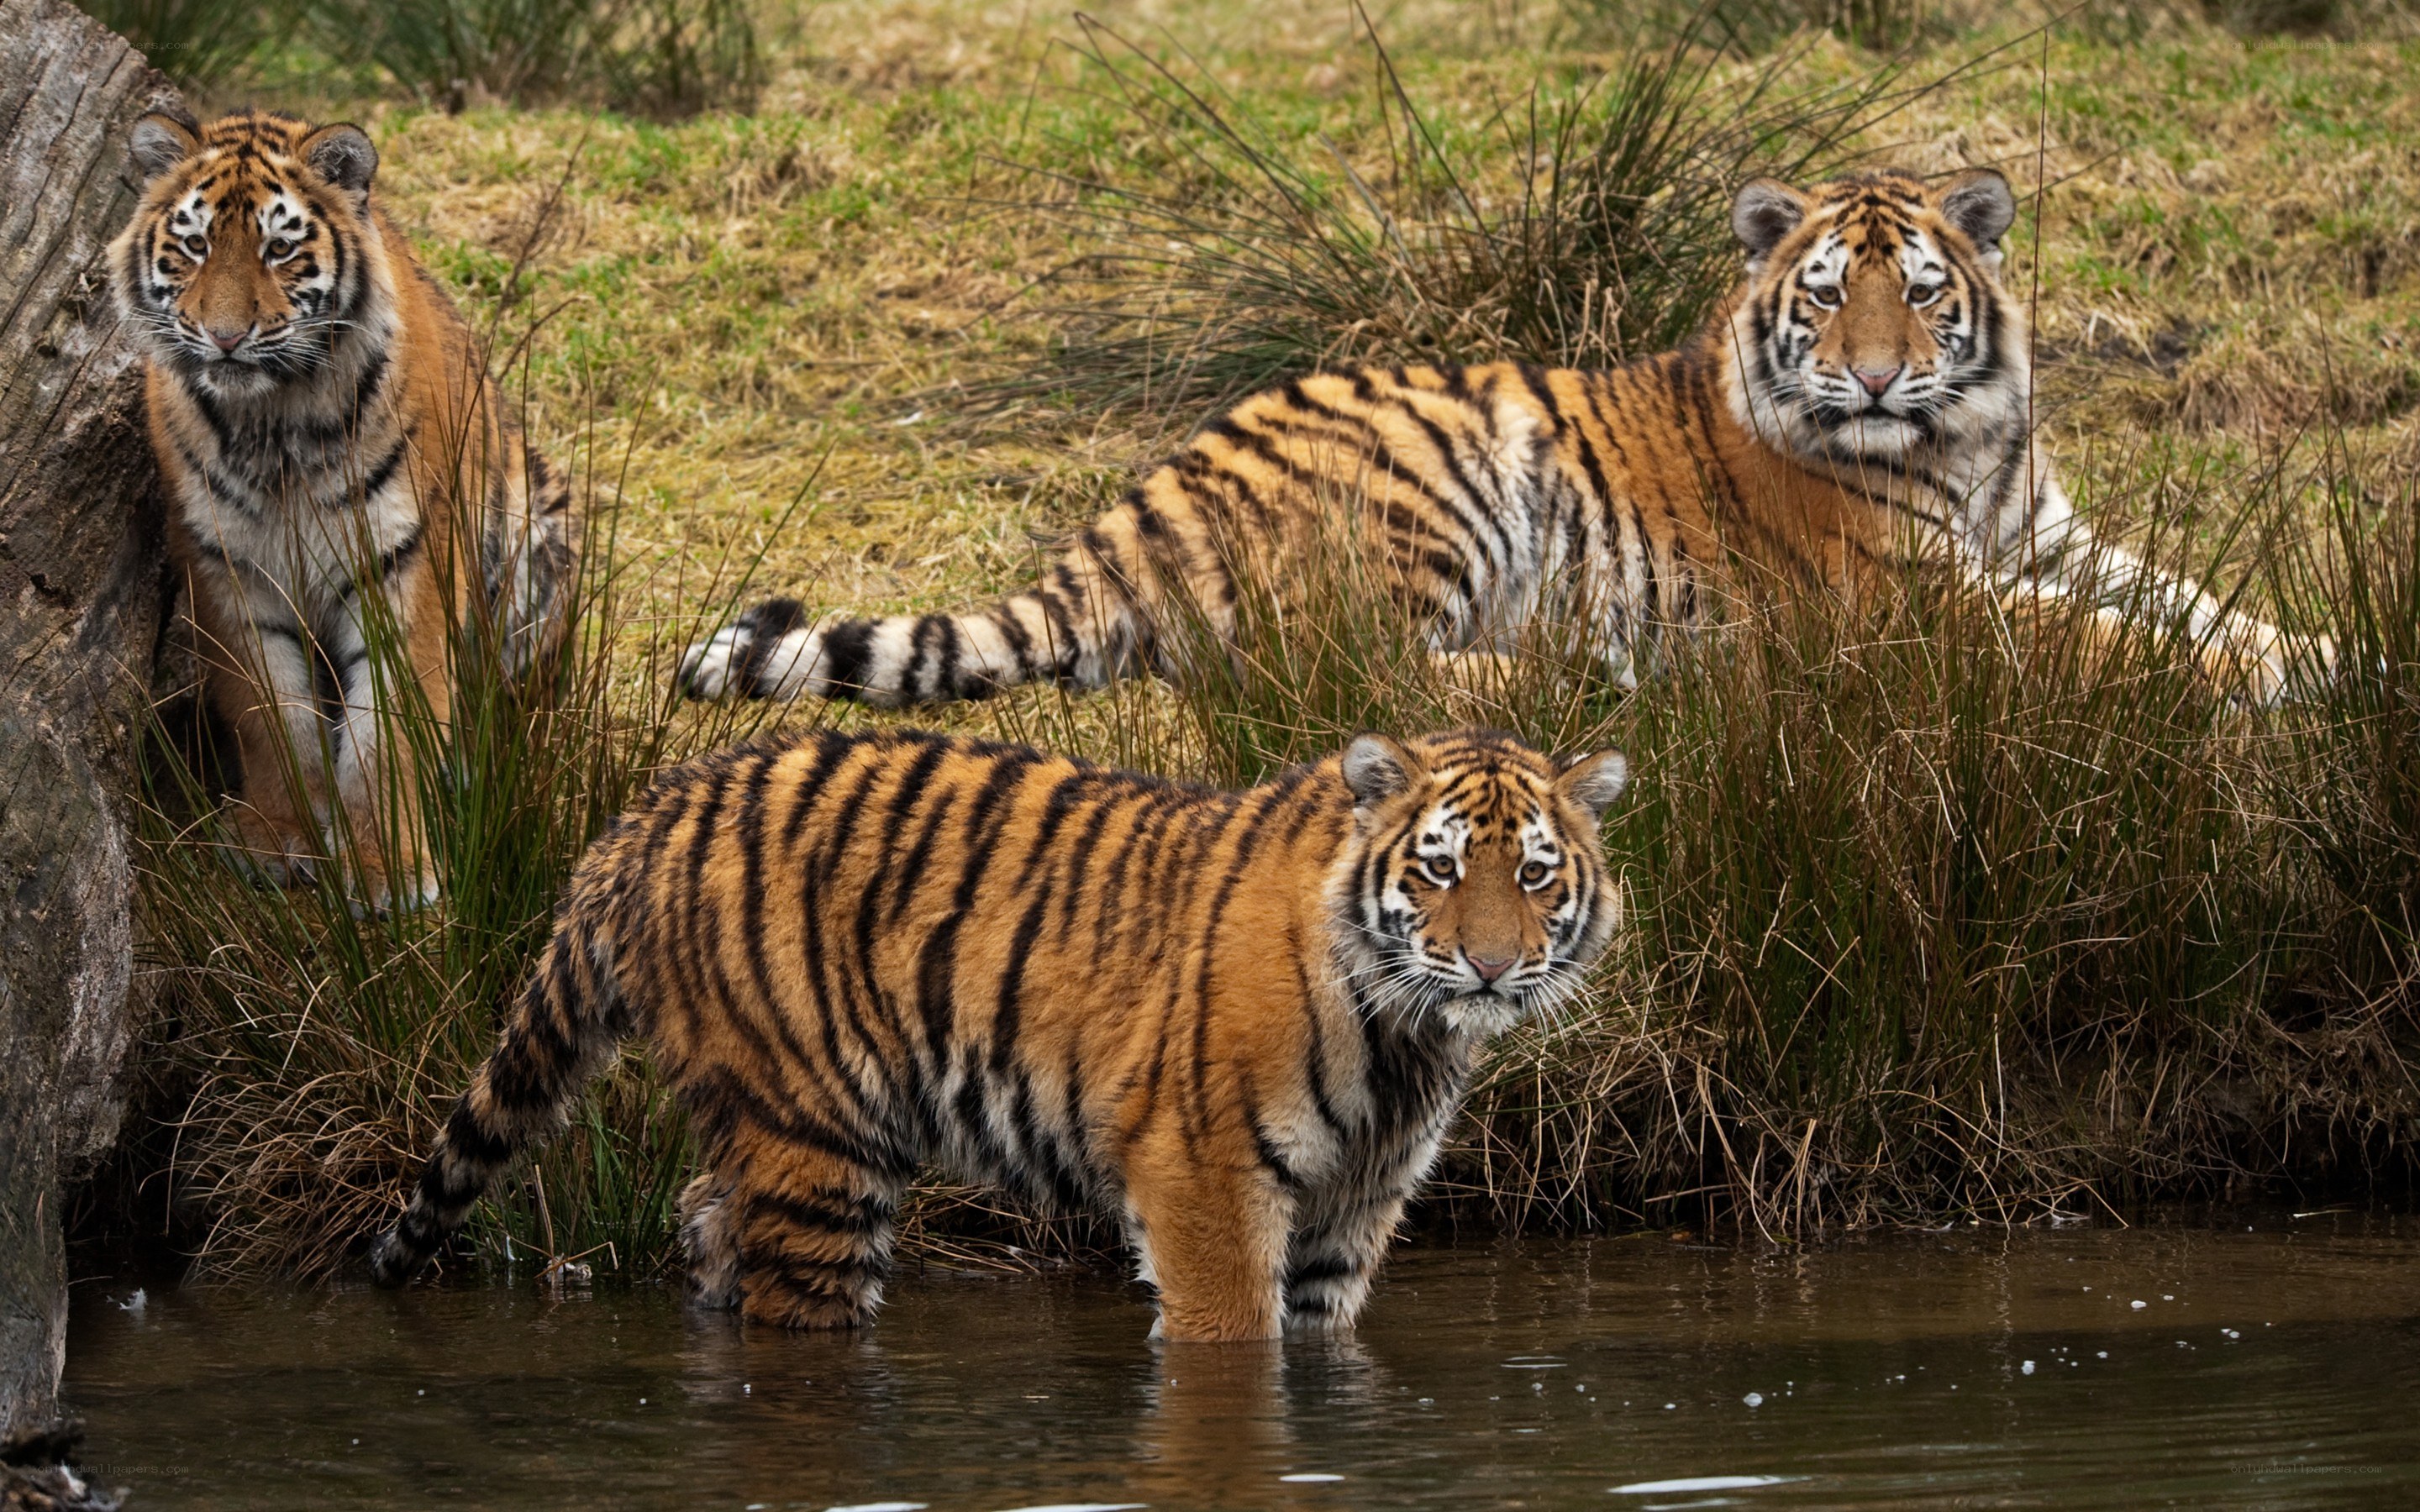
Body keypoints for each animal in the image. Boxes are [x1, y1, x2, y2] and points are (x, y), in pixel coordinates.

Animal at [111, 109, 577, 905]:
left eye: (279, 248)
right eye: (195, 245)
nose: (225, 337)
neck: (273, 424)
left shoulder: (407, 561)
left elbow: (390, 726)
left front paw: (386, 869)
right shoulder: (226, 566)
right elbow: (269, 712)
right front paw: (279, 838)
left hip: (533, 542)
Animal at [370, 726, 1631, 1340]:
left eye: (1533, 874)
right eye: (1439, 871)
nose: (1493, 965)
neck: (1406, 1037)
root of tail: (642, 816)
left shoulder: (1352, 1207)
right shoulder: (1204, 1179)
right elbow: (1234, 1345)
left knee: (701, 1220)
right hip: (818, 1145)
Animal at [680, 167, 2316, 711]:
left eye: (1917, 295)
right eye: (1823, 300)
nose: (1865, 385)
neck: (1965, 444)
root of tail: (1142, 499)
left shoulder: (2051, 534)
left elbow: (2190, 599)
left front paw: (2318, 650)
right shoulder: (1908, 600)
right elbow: (2101, 641)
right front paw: (2257, 679)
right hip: (1446, 473)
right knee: (1336, 672)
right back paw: (1603, 669)